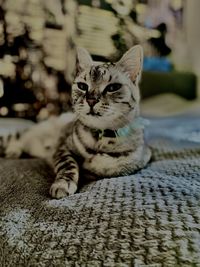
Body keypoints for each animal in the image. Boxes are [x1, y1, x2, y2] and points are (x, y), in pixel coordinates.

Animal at [3, 45, 151, 199]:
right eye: (82, 86)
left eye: (112, 88)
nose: (91, 100)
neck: (101, 138)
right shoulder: (62, 147)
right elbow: (68, 165)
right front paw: (63, 183)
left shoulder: (136, 160)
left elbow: (107, 168)